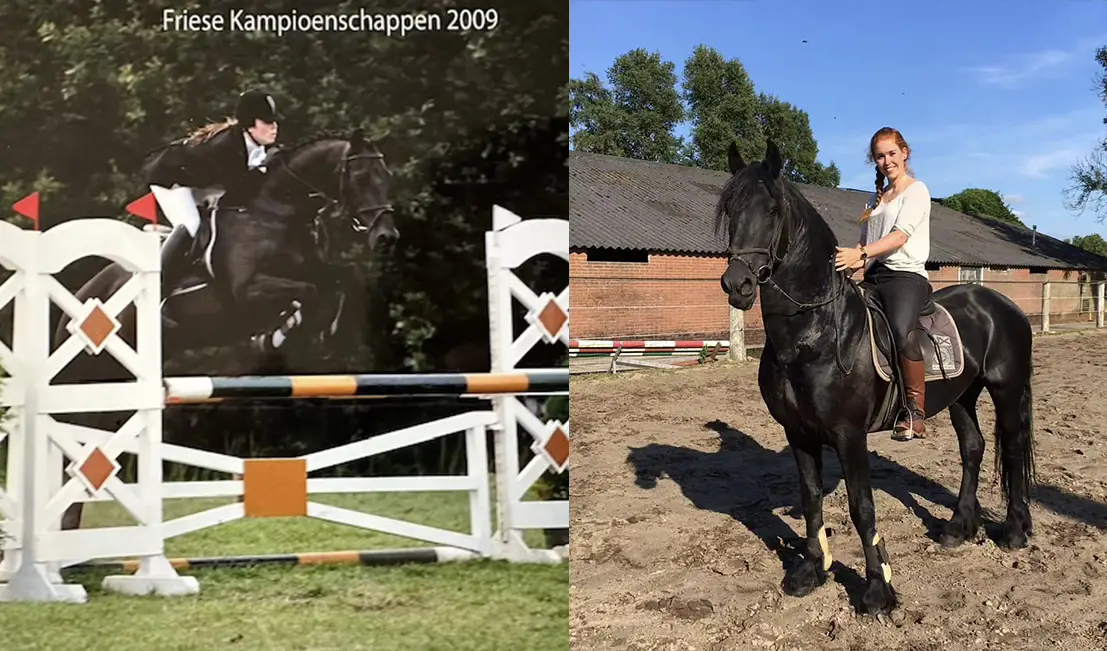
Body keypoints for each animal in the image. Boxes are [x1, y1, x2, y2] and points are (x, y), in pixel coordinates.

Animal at [51, 128, 399, 530]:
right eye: (360, 178)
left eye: (387, 177)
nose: (387, 236)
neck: (275, 214)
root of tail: (82, 294)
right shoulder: (247, 293)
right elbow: (308, 293)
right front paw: (280, 334)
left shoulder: (313, 271)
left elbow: (340, 279)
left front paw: (306, 331)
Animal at [716, 140, 1035, 615]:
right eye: (731, 209)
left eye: (772, 209)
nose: (737, 284)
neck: (815, 333)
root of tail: (1000, 303)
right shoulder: (798, 433)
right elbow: (811, 499)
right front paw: (812, 570)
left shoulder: (850, 436)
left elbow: (861, 506)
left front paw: (877, 589)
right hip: (962, 395)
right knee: (973, 448)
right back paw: (958, 527)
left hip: (1007, 389)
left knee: (1012, 449)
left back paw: (1014, 531)